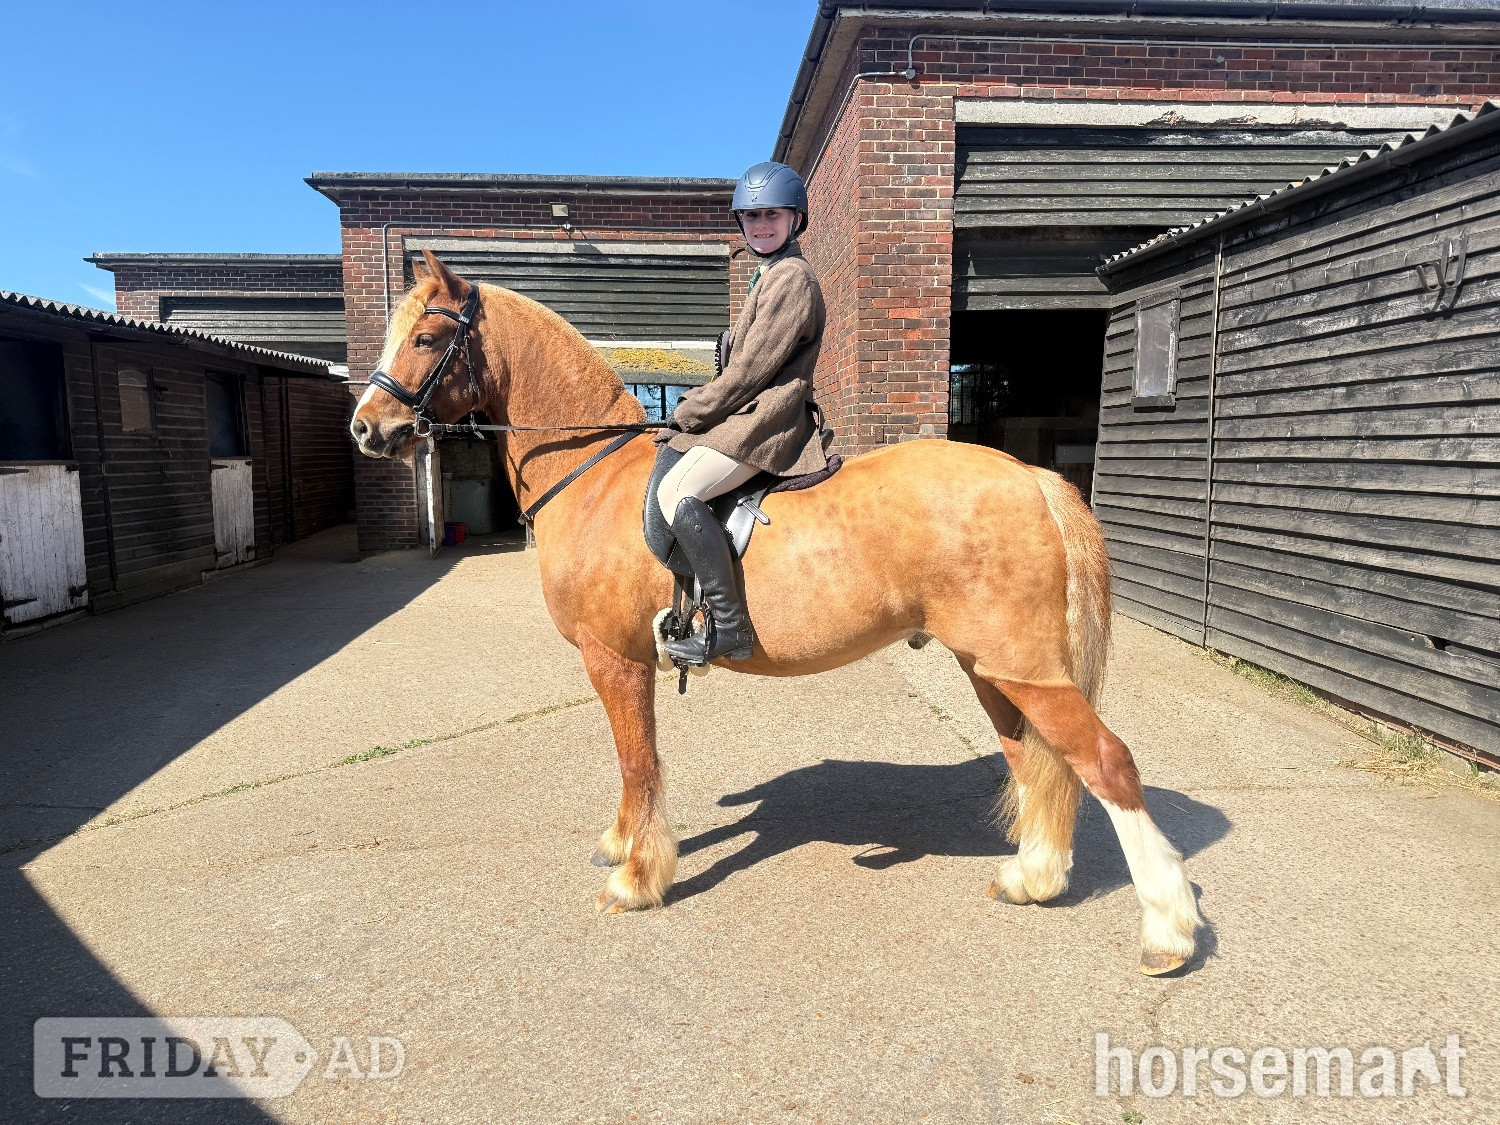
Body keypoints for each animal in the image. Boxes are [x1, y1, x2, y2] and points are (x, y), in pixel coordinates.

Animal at [350, 250, 1203, 975]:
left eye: (427, 336)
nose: (366, 428)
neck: (593, 475)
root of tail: (1032, 478)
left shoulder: (615, 659)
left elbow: (637, 760)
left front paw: (637, 878)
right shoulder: (624, 663)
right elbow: (634, 763)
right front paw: (621, 844)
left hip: (1022, 666)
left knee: (1106, 762)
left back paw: (1167, 930)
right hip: (994, 666)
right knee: (1033, 756)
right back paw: (1033, 877)